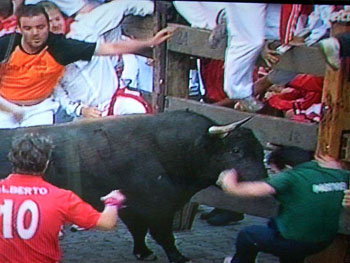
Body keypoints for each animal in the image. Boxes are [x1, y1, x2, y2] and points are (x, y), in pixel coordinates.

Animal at [0, 111, 266, 263]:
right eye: (236, 150)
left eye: (260, 152)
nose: (263, 179)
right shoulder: (158, 209)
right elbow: (164, 236)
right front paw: (179, 257)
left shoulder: (134, 207)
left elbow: (139, 231)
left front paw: (143, 252)